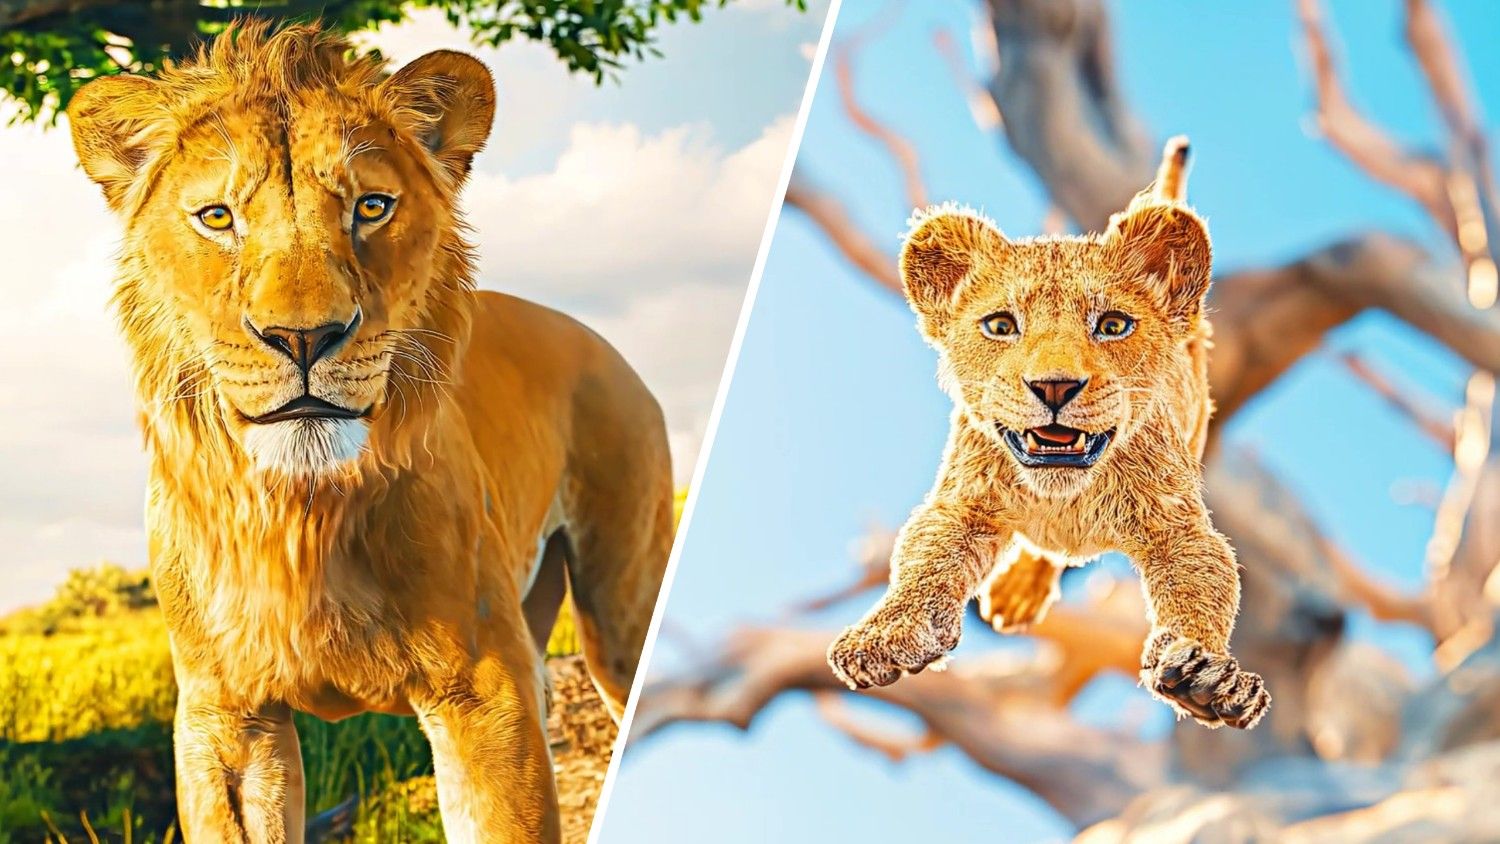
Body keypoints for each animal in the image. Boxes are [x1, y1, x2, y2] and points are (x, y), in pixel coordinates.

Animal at [67, 23, 672, 842]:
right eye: (218, 217)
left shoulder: (485, 689)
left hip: (620, 609)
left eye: (373, 207)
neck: (301, 515)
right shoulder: (224, 717)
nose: (302, 337)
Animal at [826, 138, 1270, 730]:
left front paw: (1206, 677)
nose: (1054, 386)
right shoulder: (961, 502)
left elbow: (1204, 586)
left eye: (1113, 325)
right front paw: (884, 634)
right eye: (1000, 326)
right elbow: (924, 562)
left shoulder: (1178, 526)